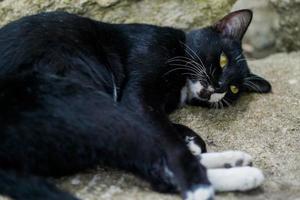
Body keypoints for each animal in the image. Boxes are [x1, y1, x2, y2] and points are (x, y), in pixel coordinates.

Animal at [0, 9, 272, 200]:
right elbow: (168, 141)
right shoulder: (137, 94)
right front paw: (190, 150)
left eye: (233, 89)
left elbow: (162, 132)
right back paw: (225, 179)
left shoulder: (145, 107)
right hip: (88, 103)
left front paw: (192, 140)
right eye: (223, 60)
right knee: (153, 166)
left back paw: (234, 161)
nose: (219, 87)